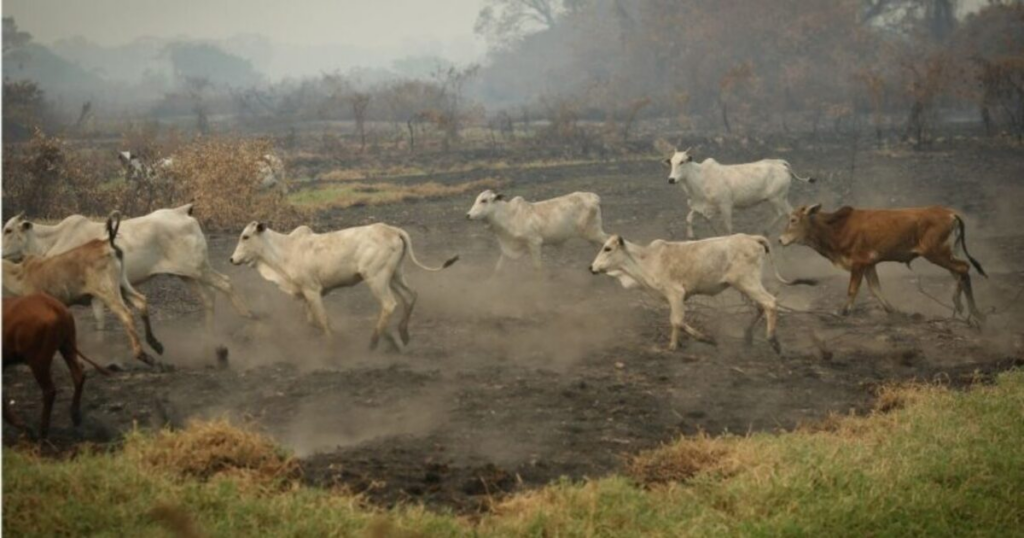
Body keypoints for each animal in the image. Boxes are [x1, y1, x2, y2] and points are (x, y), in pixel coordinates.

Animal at [3, 291, 109, 438]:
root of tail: (55, 306)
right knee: (78, 374)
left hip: (38, 360)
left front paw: (26, 428)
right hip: (67, 345)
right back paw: (75, 416)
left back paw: (42, 432)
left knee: (50, 390)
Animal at [782, 203, 983, 321]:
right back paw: (970, 312)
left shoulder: (859, 262)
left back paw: (966, 309)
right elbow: (875, 288)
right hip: (947, 252)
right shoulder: (870, 264)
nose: (780, 240)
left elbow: (853, 289)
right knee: (959, 272)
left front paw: (843, 311)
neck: (837, 228)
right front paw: (894, 311)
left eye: (793, 220)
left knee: (963, 268)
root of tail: (951, 214)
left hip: (936, 252)